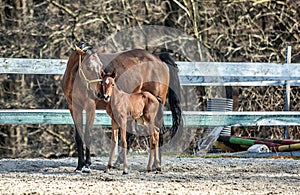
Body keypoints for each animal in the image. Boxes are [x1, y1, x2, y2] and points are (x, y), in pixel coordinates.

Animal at [62, 42, 182, 173]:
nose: (100, 94)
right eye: (88, 67)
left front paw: (87, 165)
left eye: (100, 67)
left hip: (155, 109)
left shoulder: (90, 107)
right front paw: (79, 166)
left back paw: (156, 164)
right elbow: (79, 137)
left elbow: (88, 134)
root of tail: (157, 57)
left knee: (158, 130)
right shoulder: (74, 108)